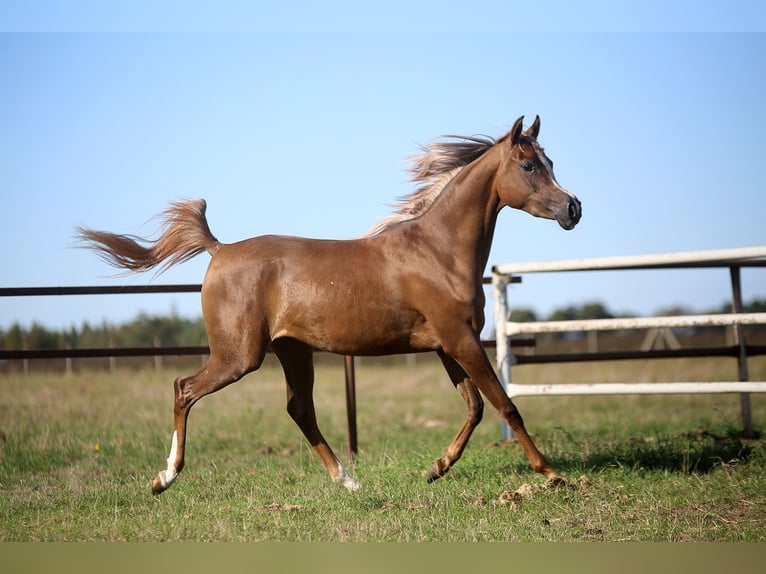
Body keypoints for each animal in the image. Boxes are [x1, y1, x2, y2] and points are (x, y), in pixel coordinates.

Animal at [77, 115, 582, 495]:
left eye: (551, 161)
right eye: (529, 165)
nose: (573, 208)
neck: (438, 250)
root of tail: (219, 248)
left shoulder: (447, 345)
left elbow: (475, 407)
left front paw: (436, 468)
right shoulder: (461, 341)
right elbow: (505, 405)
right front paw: (553, 474)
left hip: (293, 351)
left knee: (299, 409)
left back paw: (348, 480)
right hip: (239, 356)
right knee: (184, 388)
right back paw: (164, 477)